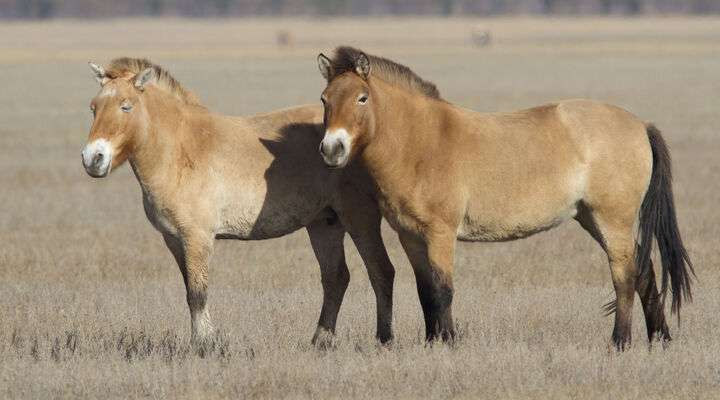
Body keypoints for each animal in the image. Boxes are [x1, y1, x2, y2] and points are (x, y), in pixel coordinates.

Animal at [82, 57, 396, 346]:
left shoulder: (197, 238)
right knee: (336, 278)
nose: (93, 158)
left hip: (359, 219)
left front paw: (204, 345)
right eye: (94, 107)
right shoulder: (174, 240)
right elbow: (189, 291)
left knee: (380, 271)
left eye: (126, 106)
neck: (180, 149)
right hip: (324, 224)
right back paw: (320, 340)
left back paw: (384, 338)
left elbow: (197, 293)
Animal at [318, 47, 696, 350]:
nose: (331, 149)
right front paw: (430, 342)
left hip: (612, 219)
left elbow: (443, 290)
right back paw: (660, 340)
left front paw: (448, 343)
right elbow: (426, 291)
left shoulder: (441, 233)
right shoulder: (410, 235)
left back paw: (620, 343)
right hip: (592, 218)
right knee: (644, 270)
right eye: (324, 99)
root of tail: (640, 125)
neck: (420, 141)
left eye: (362, 97)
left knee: (624, 275)